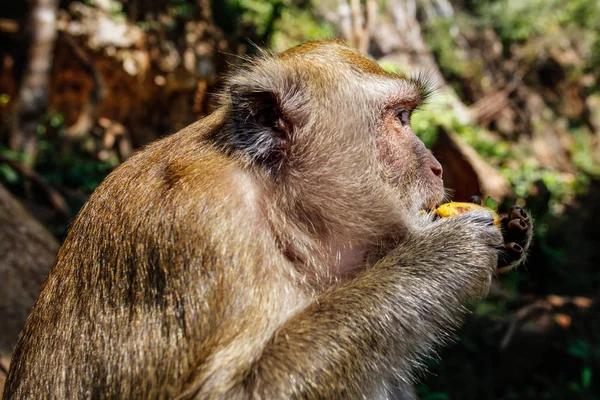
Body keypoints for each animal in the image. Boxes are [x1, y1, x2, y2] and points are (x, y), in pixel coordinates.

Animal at [2, 38, 532, 400]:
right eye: (401, 118)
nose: (438, 166)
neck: (280, 211)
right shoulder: (208, 226)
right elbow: (232, 392)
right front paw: (445, 253)